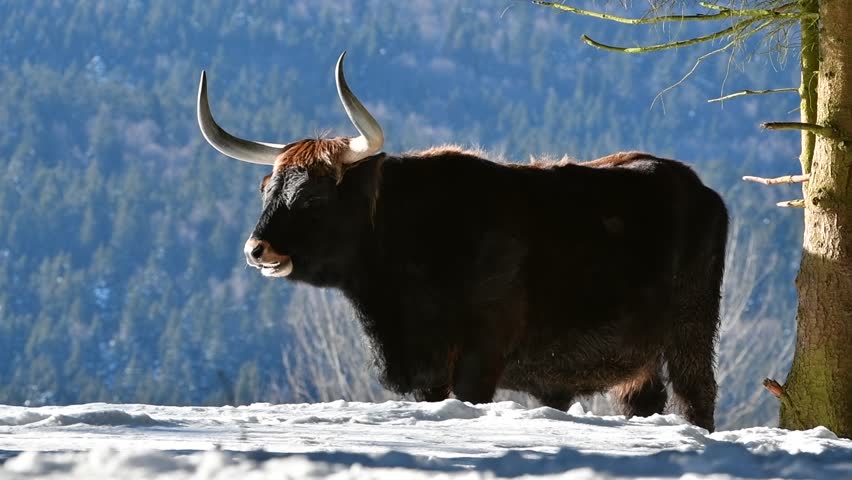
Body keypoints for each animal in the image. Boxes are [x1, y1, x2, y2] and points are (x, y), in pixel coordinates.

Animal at [197, 52, 728, 432]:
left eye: (312, 196)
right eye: (267, 188)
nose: (256, 250)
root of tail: (698, 186)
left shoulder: (480, 357)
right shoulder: (427, 370)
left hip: (691, 332)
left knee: (697, 396)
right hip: (641, 360)